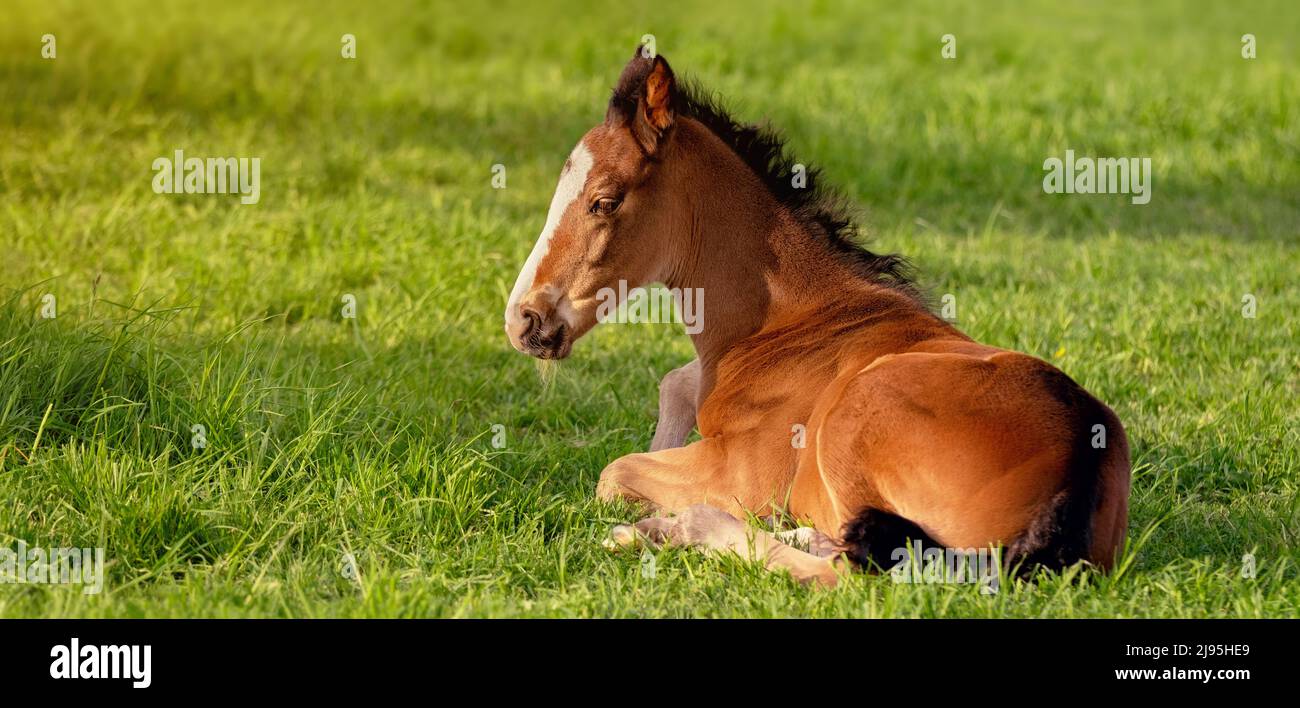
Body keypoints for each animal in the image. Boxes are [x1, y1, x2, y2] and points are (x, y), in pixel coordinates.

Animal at [501, 48, 1133, 584]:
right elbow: (673, 386)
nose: (523, 321)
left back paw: (681, 528)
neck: (788, 322)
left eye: (603, 202)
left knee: (852, 574)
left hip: (857, 420)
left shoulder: (741, 474)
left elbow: (616, 471)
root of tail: (1080, 454)